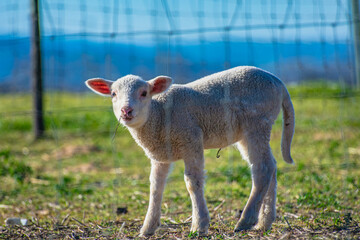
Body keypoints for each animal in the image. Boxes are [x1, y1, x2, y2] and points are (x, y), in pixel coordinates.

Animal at [85, 65, 296, 236]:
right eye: (113, 94)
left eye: (144, 93)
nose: (126, 111)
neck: (158, 113)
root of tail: (278, 82)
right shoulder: (160, 155)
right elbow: (155, 186)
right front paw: (148, 228)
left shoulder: (191, 140)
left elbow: (192, 182)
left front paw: (199, 226)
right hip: (249, 131)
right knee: (270, 166)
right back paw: (264, 222)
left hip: (257, 123)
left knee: (262, 168)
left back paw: (246, 220)